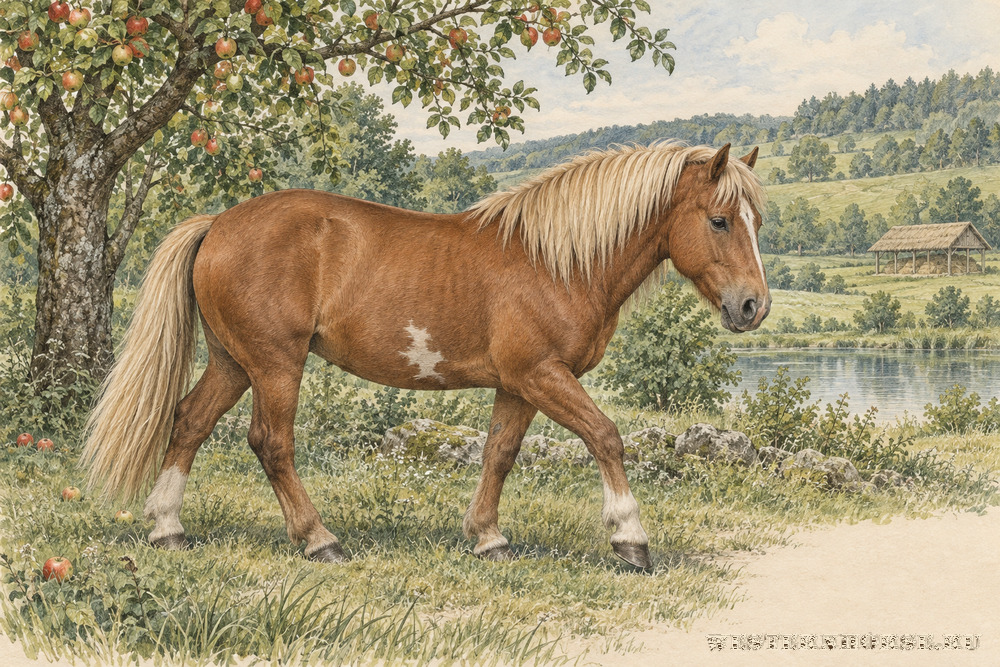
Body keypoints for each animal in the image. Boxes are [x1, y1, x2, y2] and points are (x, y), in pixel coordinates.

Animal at [81, 142, 769, 571]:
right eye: (719, 220)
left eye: (756, 221)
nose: (752, 307)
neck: (557, 262)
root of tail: (218, 224)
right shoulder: (542, 374)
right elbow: (606, 436)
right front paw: (630, 538)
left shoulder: (517, 385)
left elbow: (499, 455)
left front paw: (488, 538)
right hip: (275, 365)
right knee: (271, 443)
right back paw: (319, 541)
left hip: (232, 362)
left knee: (189, 423)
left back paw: (168, 529)